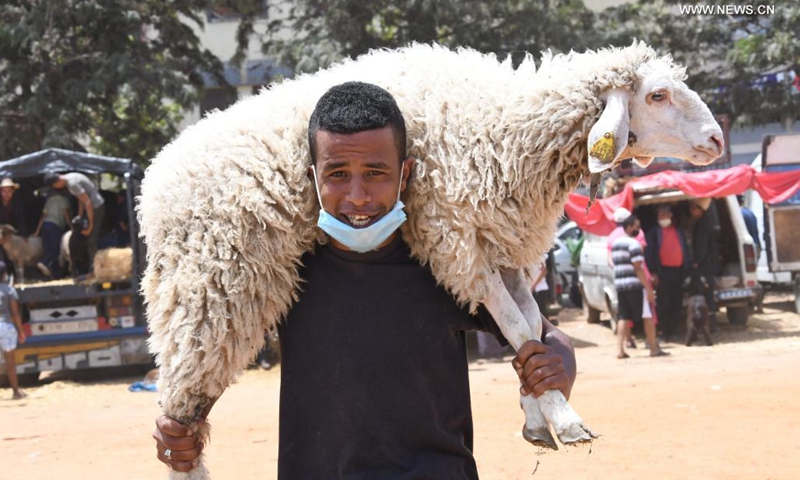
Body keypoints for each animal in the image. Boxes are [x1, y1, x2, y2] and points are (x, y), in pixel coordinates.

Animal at [139, 43, 724, 478]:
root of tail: (156, 181)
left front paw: (537, 408)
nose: (717, 139)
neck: (508, 128)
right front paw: (565, 417)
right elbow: (516, 325)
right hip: (209, 287)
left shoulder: (501, 242)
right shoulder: (457, 240)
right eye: (658, 94)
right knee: (179, 413)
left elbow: (531, 324)